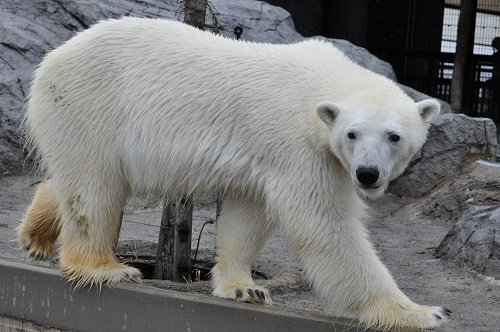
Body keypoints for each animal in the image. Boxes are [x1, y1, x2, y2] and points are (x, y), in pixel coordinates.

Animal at [18, 17, 450, 330]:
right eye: (352, 133)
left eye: (394, 136)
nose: (367, 174)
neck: (320, 82)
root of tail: (54, 57)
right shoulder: (297, 145)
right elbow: (324, 225)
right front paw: (424, 312)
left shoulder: (268, 156)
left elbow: (248, 214)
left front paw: (244, 289)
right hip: (90, 105)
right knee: (94, 186)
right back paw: (104, 266)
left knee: (75, 179)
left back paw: (36, 235)